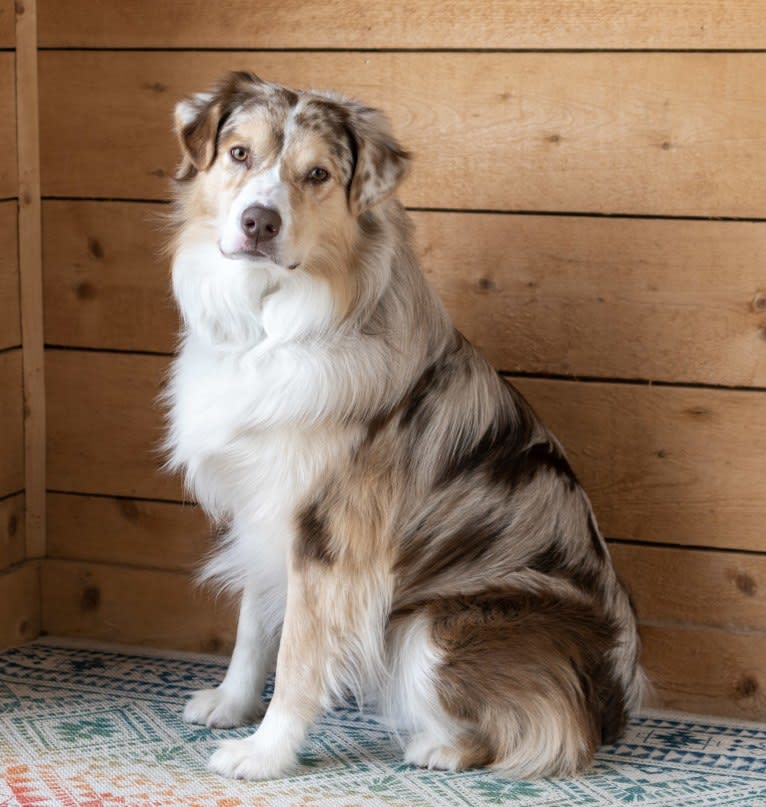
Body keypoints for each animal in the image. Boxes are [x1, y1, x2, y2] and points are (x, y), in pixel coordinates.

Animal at [165, 71, 644, 784]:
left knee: (555, 736)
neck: (267, 327)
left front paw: (265, 753)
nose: (258, 222)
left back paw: (440, 747)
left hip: (430, 628)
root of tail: (615, 709)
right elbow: (254, 624)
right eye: (239, 154)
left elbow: (299, 655)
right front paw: (231, 703)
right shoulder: (266, 509)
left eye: (317, 174)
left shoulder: (332, 537)